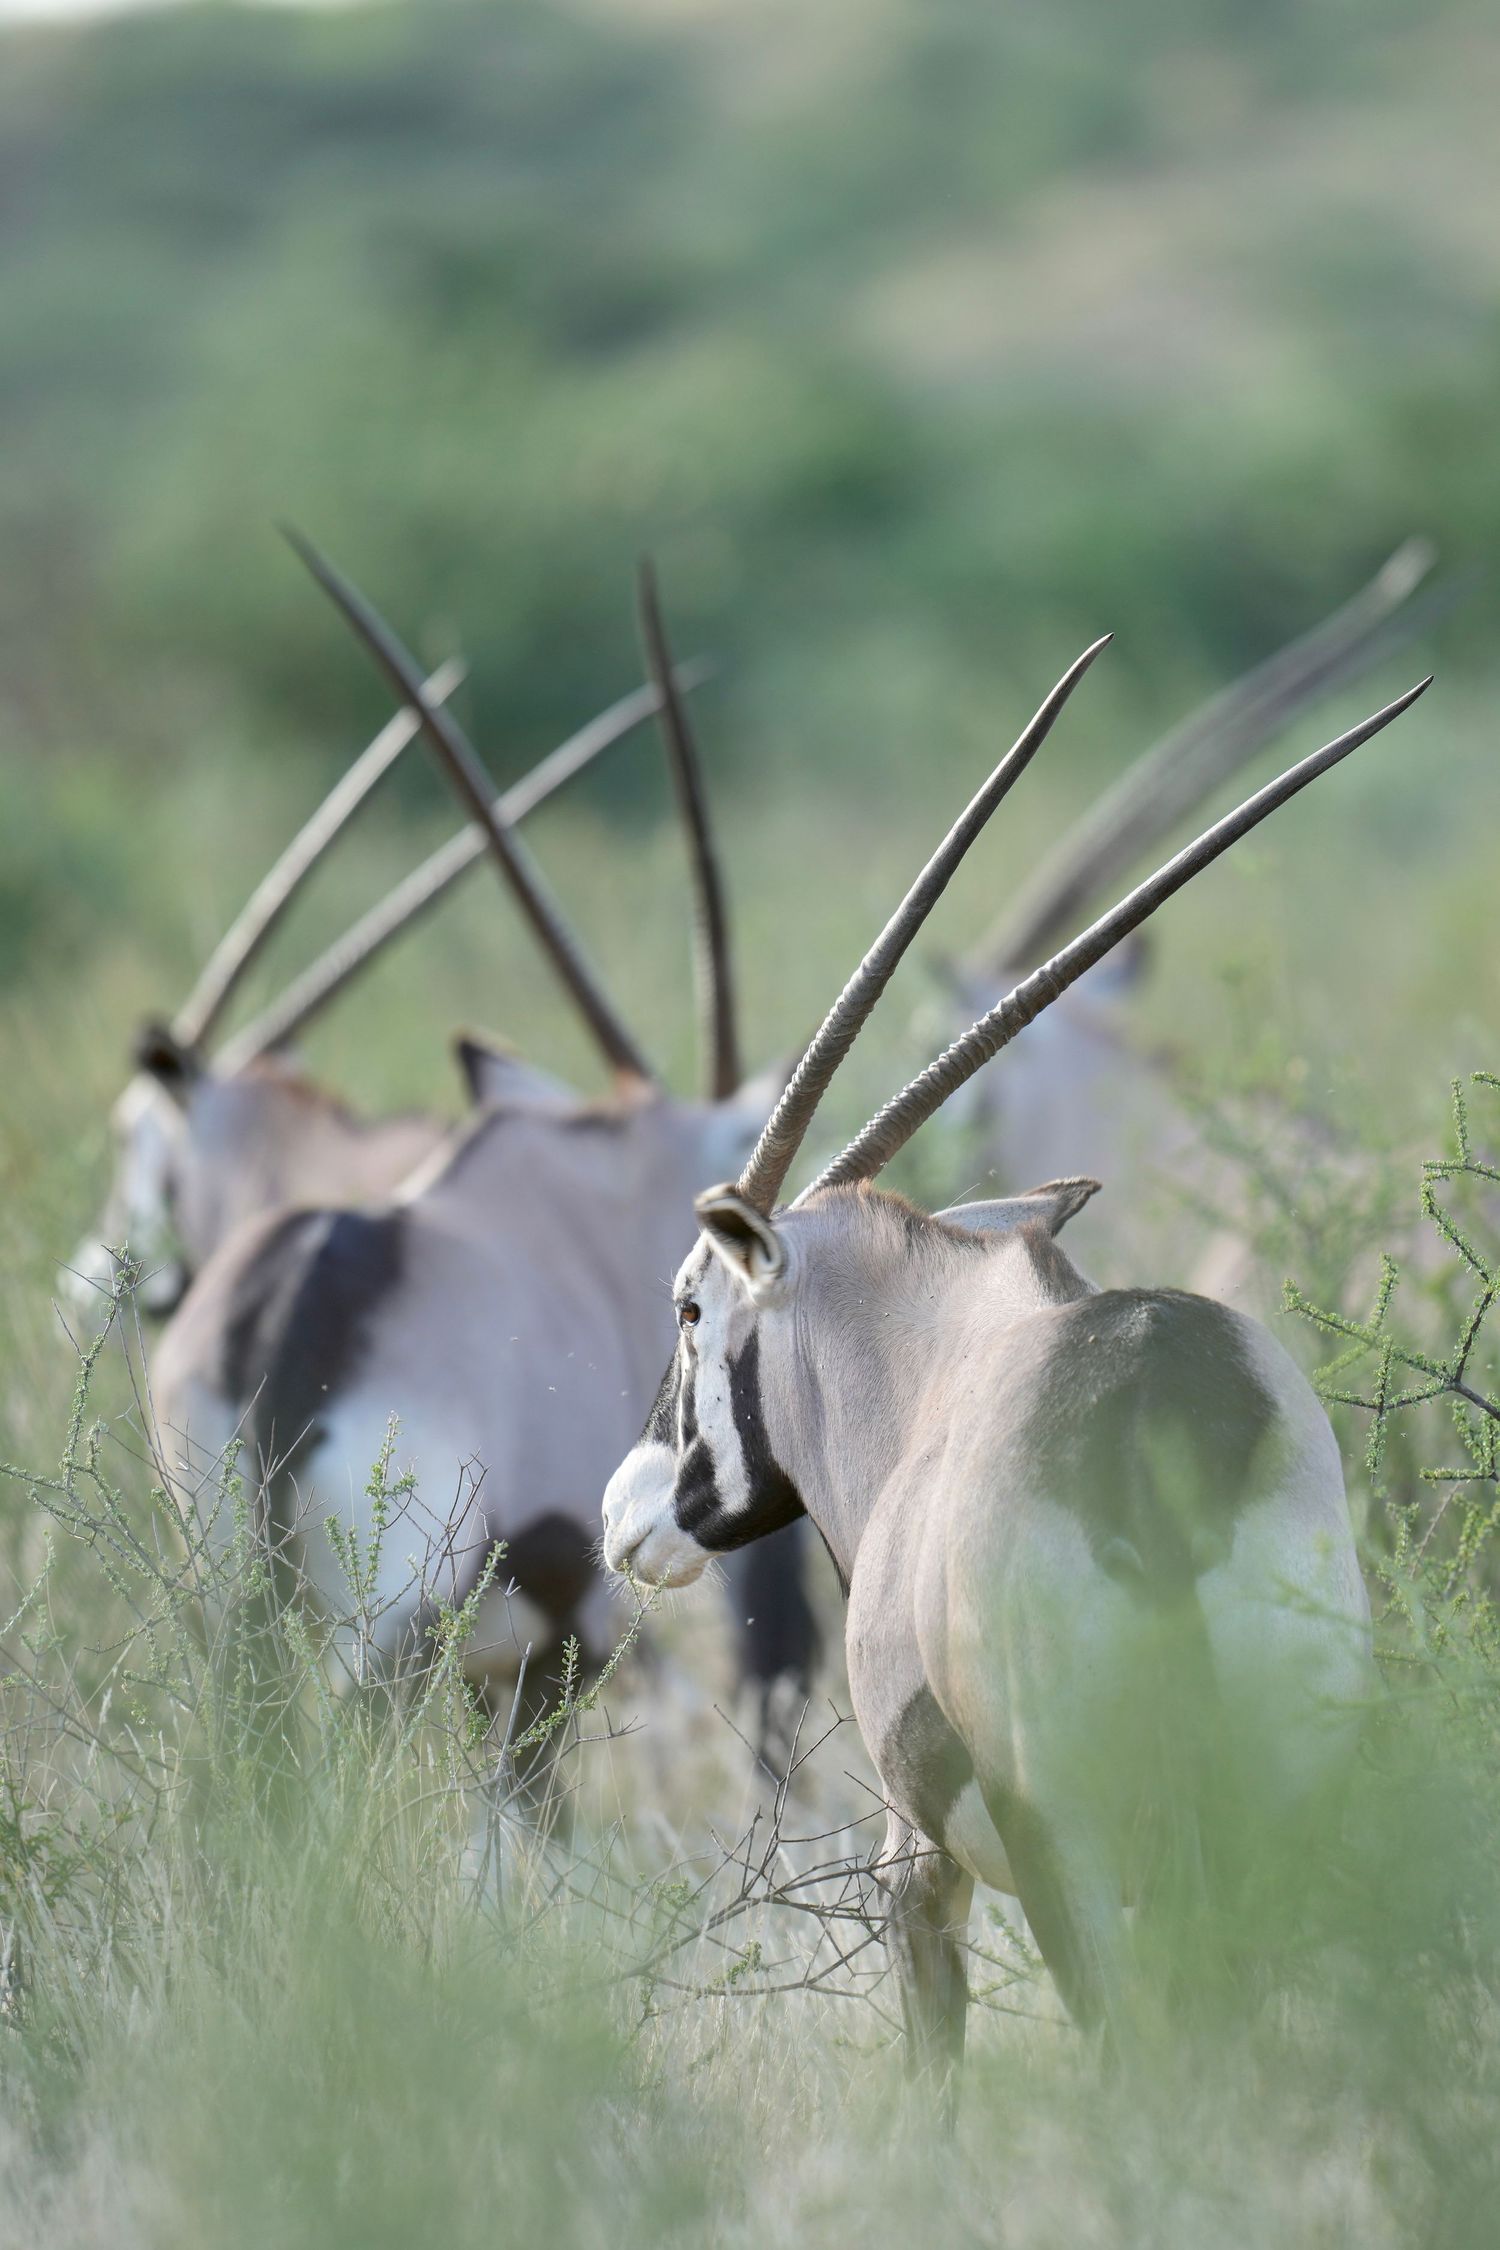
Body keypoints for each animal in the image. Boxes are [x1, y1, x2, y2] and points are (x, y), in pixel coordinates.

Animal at [602, 643, 1428, 2071]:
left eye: (693, 1305)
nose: (626, 1512)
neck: (934, 1354)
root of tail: (1157, 1432)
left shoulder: (913, 1861)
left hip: (1069, 1843)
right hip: (1273, 1806)